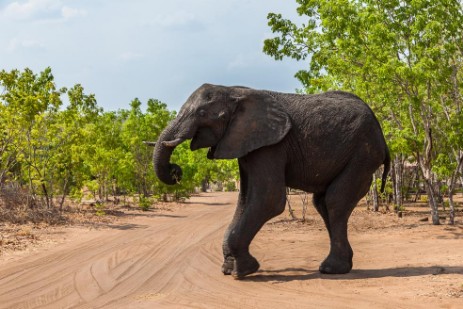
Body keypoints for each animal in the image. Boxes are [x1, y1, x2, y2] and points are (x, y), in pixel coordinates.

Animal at [153, 83, 392, 278]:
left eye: (202, 113)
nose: (176, 171)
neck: (234, 91)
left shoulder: (272, 145)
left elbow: (268, 199)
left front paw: (243, 271)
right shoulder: (246, 142)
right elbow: (244, 199)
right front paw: (229, 269)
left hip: (363, 153)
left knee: (335, 201)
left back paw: (332, 269)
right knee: (322, 203)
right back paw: (338, 267)